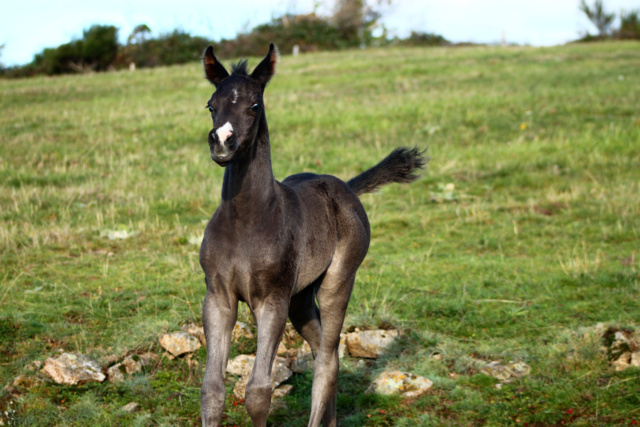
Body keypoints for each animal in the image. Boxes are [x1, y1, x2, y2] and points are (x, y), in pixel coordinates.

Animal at [198, 44, 422, 427]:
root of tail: (345, 187)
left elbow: (258, 392)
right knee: (322, 351)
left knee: (328, 360)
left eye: (255, 105)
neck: (246, 221)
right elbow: (212, 392)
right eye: (212, 105)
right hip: (300, 298)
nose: (222, 143)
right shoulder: (218, 298)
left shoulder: (272, 299)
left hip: (337, 281)